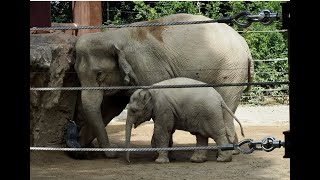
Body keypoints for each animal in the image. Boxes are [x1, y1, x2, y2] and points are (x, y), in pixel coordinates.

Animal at [74, 13, 254, 158]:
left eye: (99, 74)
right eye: (77, 74)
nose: (114, 153)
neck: (113, 36)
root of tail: (244, 44)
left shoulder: (149, 67)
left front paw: (160, 152)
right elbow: (111, 108)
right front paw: (81, 149)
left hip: (230, 72)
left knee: (226, 105)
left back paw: (229, 151)